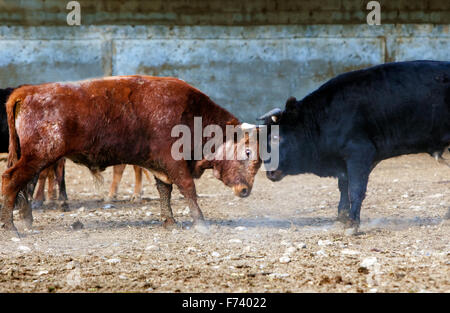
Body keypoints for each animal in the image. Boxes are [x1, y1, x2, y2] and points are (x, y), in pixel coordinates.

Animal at [0, 75, 260, 232]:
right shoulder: (174, 162)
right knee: (11, 180)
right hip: (38, 156)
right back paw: (11, 227)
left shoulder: (160, 167)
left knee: (26, 184)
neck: (191, 114)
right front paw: (201, 223)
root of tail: (26, 92)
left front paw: (170, 222)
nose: (245, 190)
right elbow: (188, 189)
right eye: (247, 152)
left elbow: (164, 191)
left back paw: (26, 220)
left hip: (35, 158)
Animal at [258, 61, 450, 230]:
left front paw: (352, 224)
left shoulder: (359, 153)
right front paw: (341, 218)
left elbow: (355, 189)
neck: (323, 118)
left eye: (276, 137)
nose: (269, 171)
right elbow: (344, 186)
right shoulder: (346, 162)